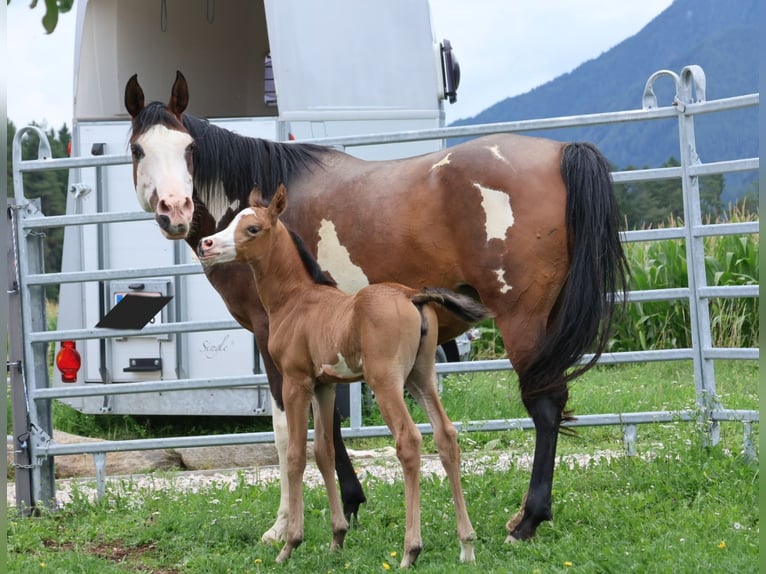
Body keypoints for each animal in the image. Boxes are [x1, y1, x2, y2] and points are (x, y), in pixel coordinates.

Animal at [197, 184, 488, 566]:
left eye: (253, 228)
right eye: (231, 221)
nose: (206, 245)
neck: (296, 299)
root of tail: (412, 295)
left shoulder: (296, 382)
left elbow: (296, 455)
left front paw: (290, 544)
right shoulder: (325, 386)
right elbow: (324, 451)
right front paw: (337, 538)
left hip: (386, 381)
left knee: (409, 440)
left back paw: (410, 550)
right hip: (421, 377)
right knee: (446, 436)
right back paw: (466, 546)